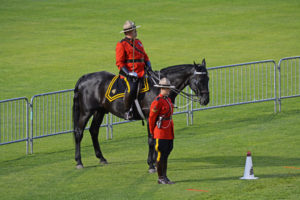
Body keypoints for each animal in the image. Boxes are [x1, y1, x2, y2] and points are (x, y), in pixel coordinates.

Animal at [73, 58, 209, 170]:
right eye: (199, 81)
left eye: (207, 79)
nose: (206, 100)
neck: (159, 87)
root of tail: (85, 77)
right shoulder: (150, 117)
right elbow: (151, 139)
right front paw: (151, 164)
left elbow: (156, 137)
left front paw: (155, 162)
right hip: (86, 112)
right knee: (79, 132)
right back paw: (79, 162)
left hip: (99, 111)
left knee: (94, 130)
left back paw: (101, 158)